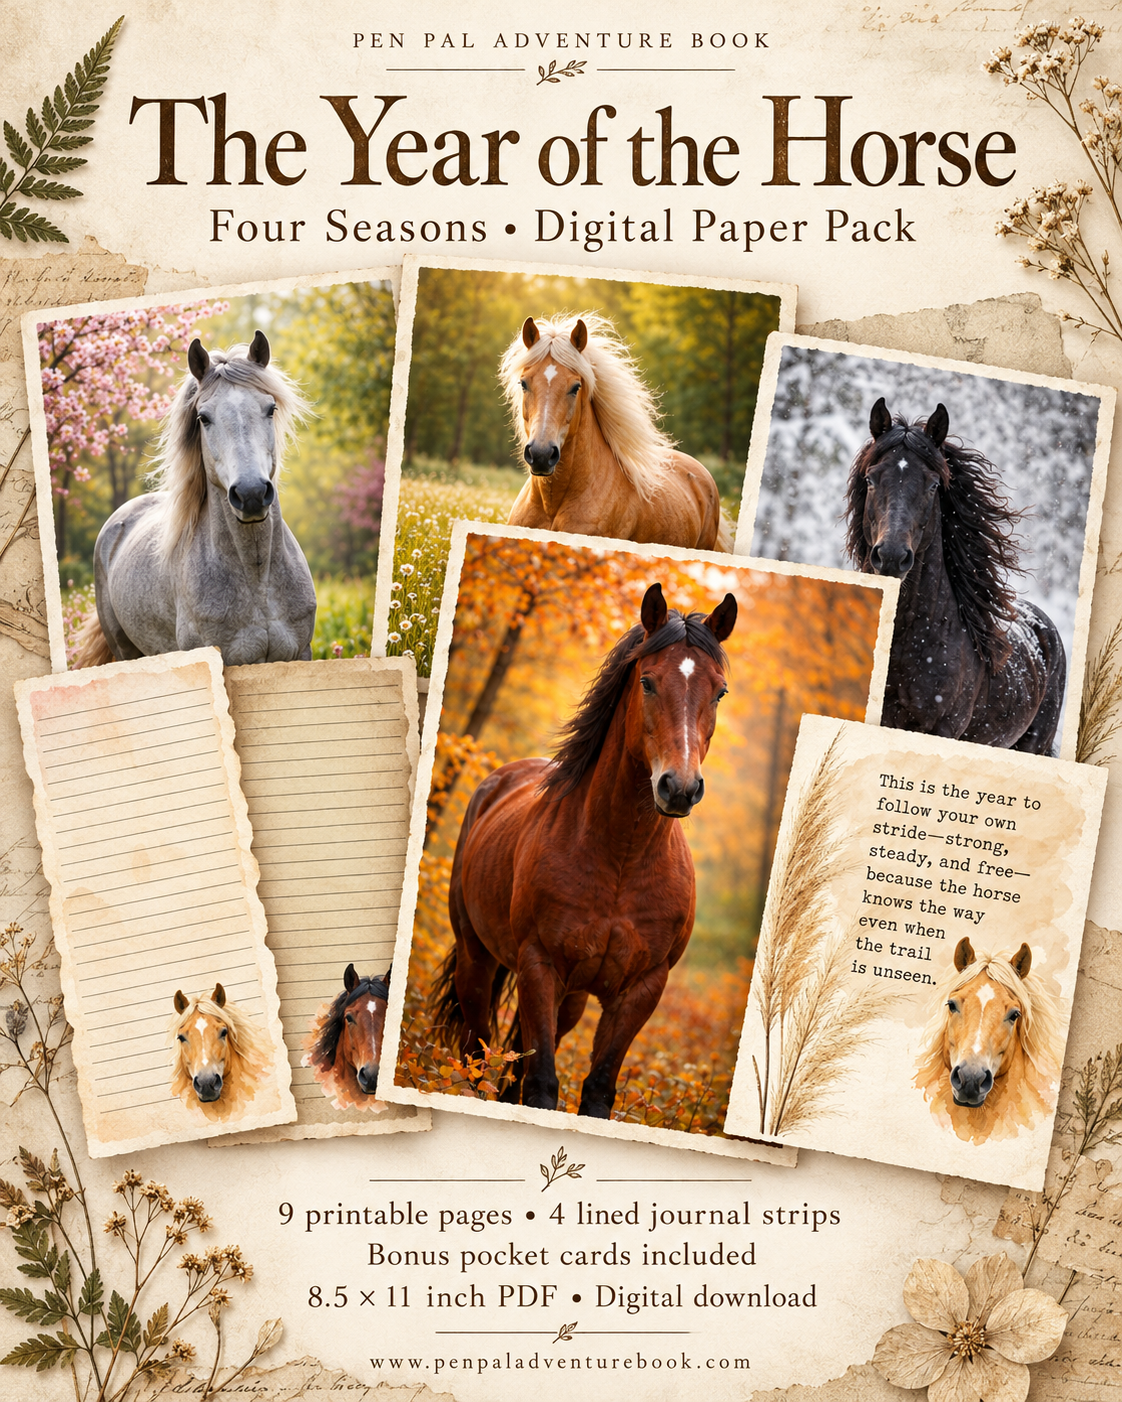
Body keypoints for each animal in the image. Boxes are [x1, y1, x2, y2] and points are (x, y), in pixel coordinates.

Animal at [71, 331, 317, 669]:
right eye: (204, 417)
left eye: (270, 409)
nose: (251, 493)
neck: (257, 577)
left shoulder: (300, 654)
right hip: (124, 649)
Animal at [432, 581, 736, 1119]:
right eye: (648, 683)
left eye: (718, 691)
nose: (679, 788)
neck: (621, 858)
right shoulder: (539, 966)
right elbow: (542, 1084)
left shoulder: (641, 988)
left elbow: (595, 1089)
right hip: (476, 959)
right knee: (477, 1051)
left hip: (570, 997)